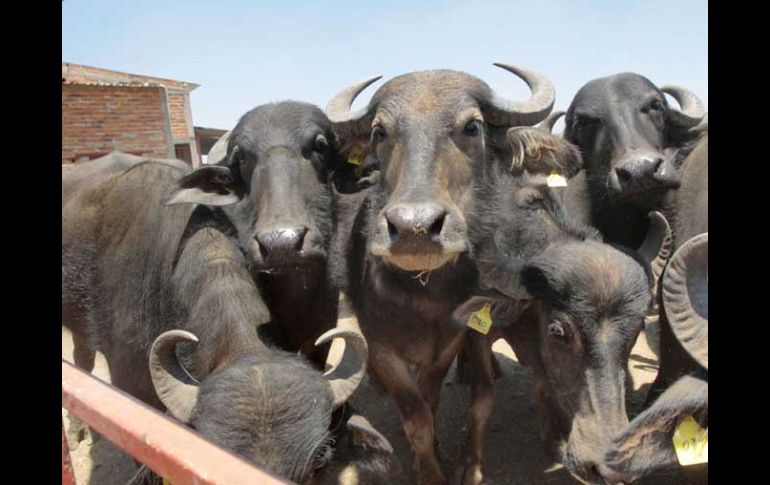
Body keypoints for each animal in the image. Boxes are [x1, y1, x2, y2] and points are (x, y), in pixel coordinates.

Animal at [328, 65, 556, 484]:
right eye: (379, 132)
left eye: (472, 126)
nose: (414, 228)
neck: (423, 297)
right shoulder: (383, 347)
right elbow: (415, 416)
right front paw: (428, 468)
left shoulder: (448, 344)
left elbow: (433, 403)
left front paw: (442, 455)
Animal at [452, 126, 668, 482]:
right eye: (558, 331)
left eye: (637, 329)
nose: (607, 467)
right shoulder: (477, 333)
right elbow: (482, 399)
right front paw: (471, 467)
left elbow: (543, 382)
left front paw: (554, 438)